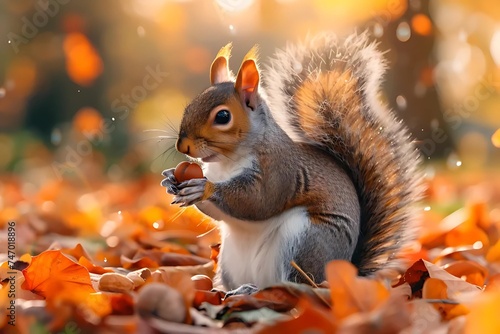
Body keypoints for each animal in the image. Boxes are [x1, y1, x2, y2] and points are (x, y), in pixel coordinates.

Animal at [160, 32, 422, 290]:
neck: (226, 162)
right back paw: (234, 290)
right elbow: (217, 213)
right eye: (190, 106)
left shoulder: (278, 170)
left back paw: (257, 290)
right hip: (230, 261)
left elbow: (257, 201)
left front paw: (203, 188)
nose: (182, 146)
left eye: (223, 116)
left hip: (305, 241)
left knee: (300, 284)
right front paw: (172, 179)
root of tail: (345, 271)